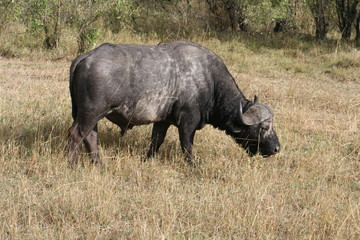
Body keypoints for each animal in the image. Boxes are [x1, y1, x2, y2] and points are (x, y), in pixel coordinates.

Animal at [68, 40, 282, 165]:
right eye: (264, 128)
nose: (276, 149)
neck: (209, 79)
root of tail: (85, 57)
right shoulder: (188, 122)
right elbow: (187, 145)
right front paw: (193, 165)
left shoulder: (162, 121)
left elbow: (156, 141)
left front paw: (147, 159)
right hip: (91, 112)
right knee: (77, 134)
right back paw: (73, 163)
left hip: (90, 114)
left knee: (91, 136)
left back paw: (98, 163)